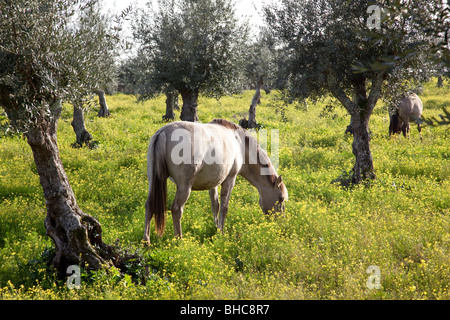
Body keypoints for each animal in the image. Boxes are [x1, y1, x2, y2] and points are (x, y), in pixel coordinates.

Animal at [143, 118, 288, 245]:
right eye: (280, 198)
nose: (281, 223)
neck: (239, 144)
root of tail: (163, 132)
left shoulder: (213, 183)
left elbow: (215, 205)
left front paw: (215, 227)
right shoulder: (230, 180)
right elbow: (224, 207)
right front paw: (221, 232)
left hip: (153, 181)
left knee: (149, 205)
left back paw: (146, 241)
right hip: (184, 187)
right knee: (176, 209)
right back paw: (179, 240)